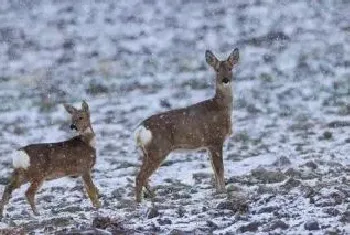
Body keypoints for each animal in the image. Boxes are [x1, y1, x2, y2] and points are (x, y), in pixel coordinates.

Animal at [135, 48, 241, 202]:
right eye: (216, 70)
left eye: (230, 68)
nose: (225, 80)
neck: (219, 107)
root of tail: (140, 130)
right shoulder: (216, 139)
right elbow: (220, 169)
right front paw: (223, 191)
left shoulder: (208, 145)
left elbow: (214, 170)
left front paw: (218, 190)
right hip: (158, 150)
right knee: (140, 177)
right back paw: (140, 202)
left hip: (147, 152)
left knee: (142, 176)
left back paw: (153, 196)